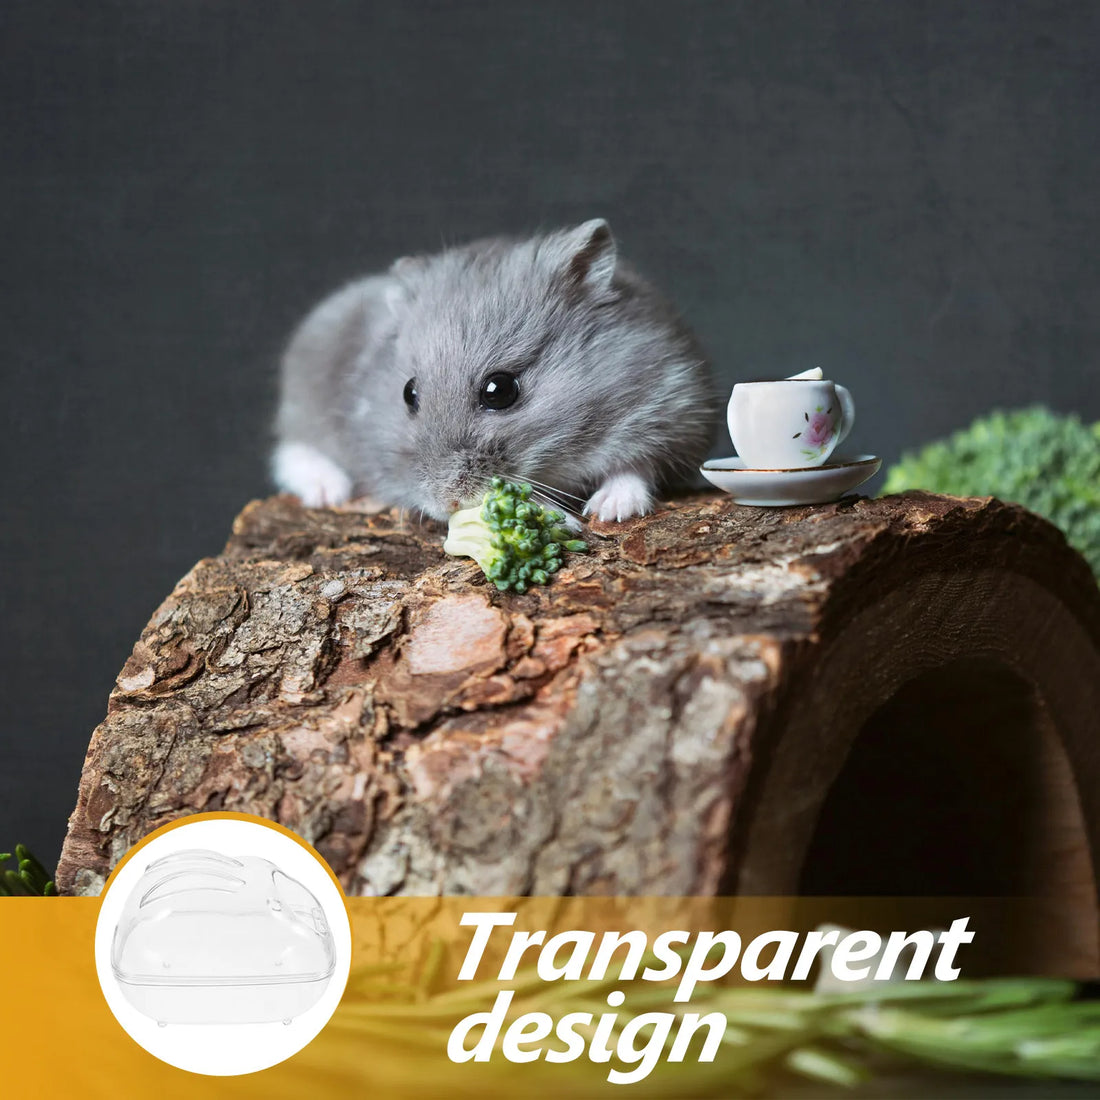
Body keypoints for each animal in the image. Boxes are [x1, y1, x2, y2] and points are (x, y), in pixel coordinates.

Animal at [272, 219, 718, 523]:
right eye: (408, 393)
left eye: (499, 390)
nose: (446, 503)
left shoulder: (673, 408)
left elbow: (636, 467)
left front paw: (607, 511)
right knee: (293, 449)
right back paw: (328, 492)